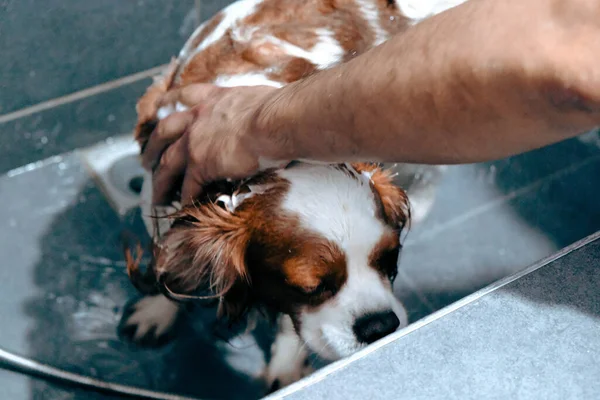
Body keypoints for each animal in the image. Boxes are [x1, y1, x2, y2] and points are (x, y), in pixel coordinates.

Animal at [119, 0, 462, 394]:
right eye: (311, 286)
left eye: (390, 260)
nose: (380, 326)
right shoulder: (159, 190)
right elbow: (168, 262)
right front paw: (157, 308)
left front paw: (285, 362)